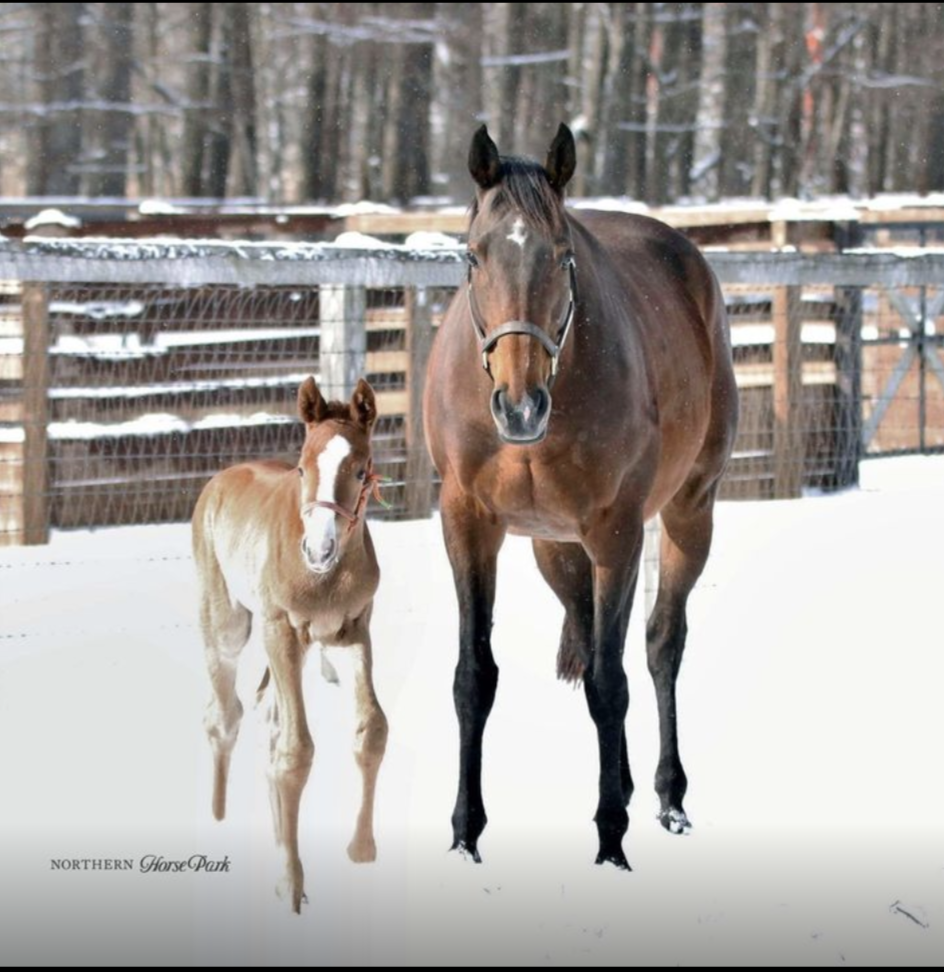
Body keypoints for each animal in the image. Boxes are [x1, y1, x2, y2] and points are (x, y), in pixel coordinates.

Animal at [192, 377, 388, 912]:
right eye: (302, 466)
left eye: (360, 469)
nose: (318, 550)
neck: (325, 579)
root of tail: (219, 479)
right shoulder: (280, 628)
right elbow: (295, 751)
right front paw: (292, 883)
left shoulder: (353, 629)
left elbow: (371, 729)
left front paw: (362, 848)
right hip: (229, 622)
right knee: (225, 716)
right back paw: (217, 821)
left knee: (267, 719)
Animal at [423, 124, 738, 870]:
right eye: (473, 256)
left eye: (562, 257)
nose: (519, 405)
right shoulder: (468, 525)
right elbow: (474, 678)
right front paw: (465, 834)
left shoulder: (616, 532)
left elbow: (609, 682)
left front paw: (610, 841)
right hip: (553, 548)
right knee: (595, 633)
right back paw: (623, 782)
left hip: (689, 512)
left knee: (659, 645)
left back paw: (667, 797)